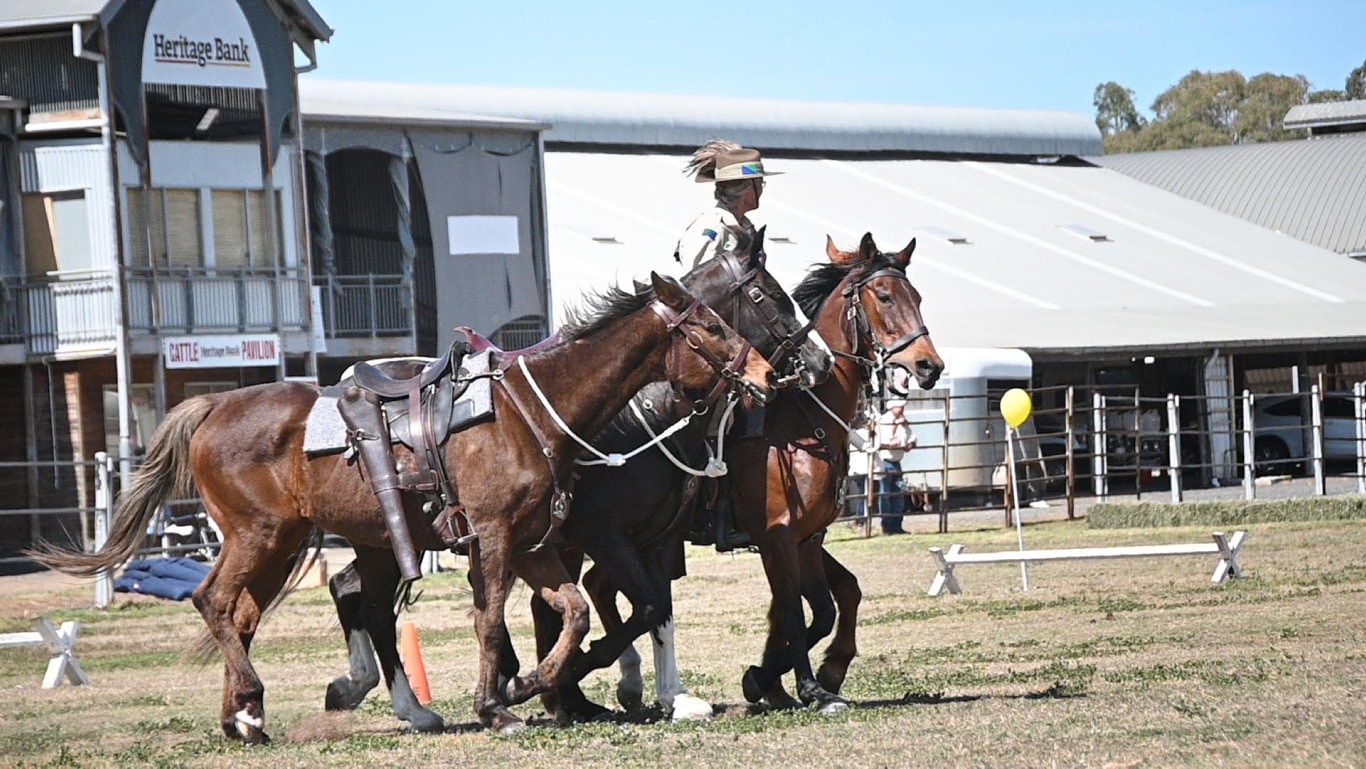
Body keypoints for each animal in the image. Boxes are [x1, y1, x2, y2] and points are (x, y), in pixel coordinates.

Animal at [32, 273, 775, 743]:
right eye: (712, 326)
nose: (767, 374)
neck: (530, 413)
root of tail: (213, 404)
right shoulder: (498, 539)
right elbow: (491, 620)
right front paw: (498, 703)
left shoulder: (535, 544)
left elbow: (573, 613)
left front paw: (532, 684)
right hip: (259, 534)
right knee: (217, 601)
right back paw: (255, 707)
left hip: (293, 541)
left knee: (250, 613)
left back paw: (249, 717)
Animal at [322, 226, 830, 726]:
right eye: (770, 294)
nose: (818, 361)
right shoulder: (601, 535)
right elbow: (637, 607)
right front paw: (566, 681)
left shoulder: (657, 538)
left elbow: (655, 608)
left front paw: (669, 695)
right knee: (375, 604)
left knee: (352, 589)